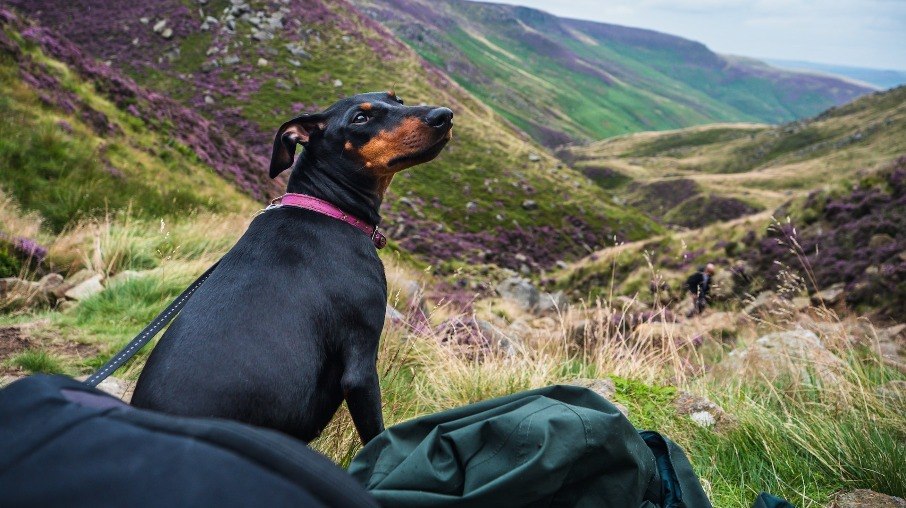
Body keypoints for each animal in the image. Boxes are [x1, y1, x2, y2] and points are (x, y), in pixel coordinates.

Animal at [132, 92, 452, 444]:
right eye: (360, 119)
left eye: (398, 100)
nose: (444, 115)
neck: (327, 207)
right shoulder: (361, 361)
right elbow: (375, 438)